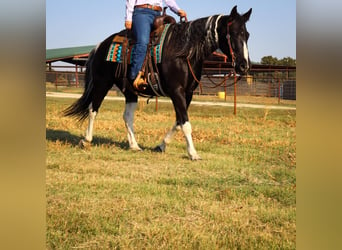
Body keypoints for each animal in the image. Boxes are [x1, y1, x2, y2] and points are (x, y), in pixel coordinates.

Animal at [63, 5, 251, 160]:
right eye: (233, 34)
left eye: (247, 35)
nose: (244, 66)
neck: (184, 51)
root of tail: (100, 45)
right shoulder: (176, 91)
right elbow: (185, 124)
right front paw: (193, 153)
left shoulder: (187, 93)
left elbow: (179, 122)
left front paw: (161, 146)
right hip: (102, 83)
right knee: (93, 109)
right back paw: (86, 140)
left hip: (130, 91)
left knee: (127, 116)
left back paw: (134, 146)